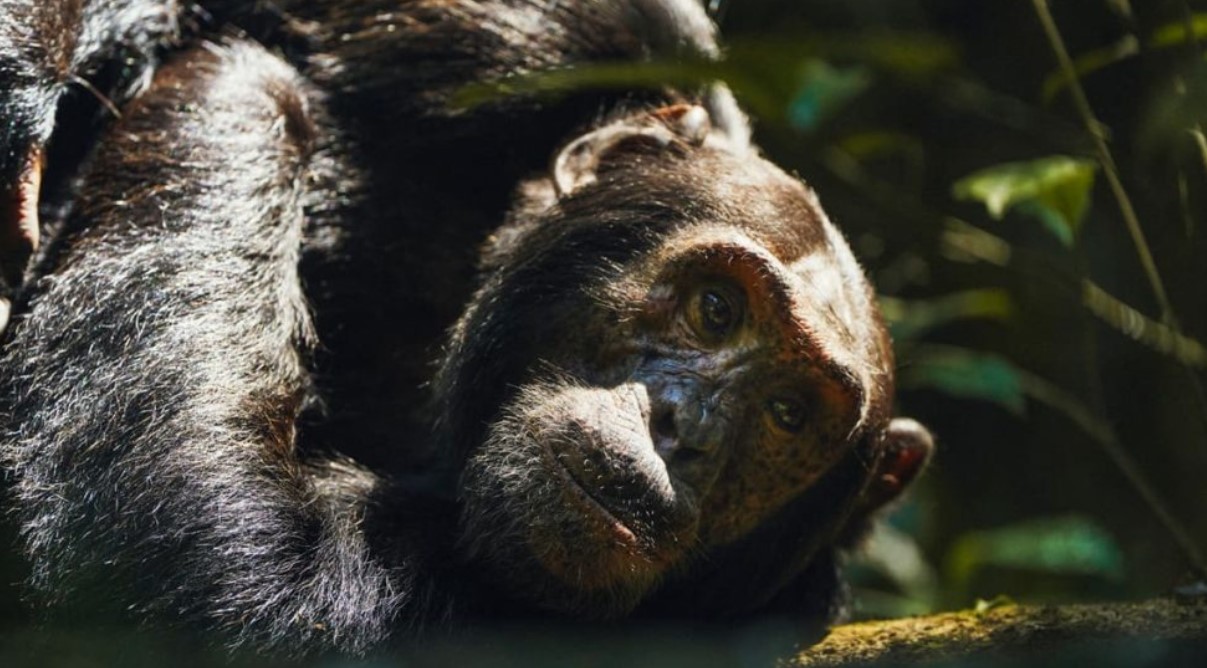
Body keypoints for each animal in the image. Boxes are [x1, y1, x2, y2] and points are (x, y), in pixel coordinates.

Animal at [0, 0, 934, 656]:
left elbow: (213, 558)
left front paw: (246, 90)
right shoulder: (540, 37)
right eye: (716, 310)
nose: (683, 429)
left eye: (787, 414)